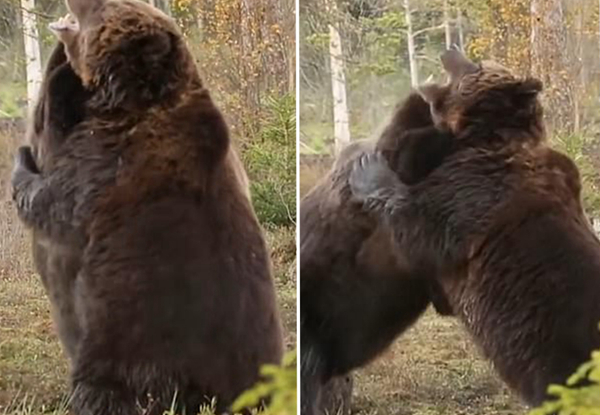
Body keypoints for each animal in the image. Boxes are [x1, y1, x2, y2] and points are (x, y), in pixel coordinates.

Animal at [350, 48, 600, 406]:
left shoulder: (472, 201)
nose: (450, 48)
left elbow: (418, 227)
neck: (483, 137)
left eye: (476, 64)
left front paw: (368, 169)